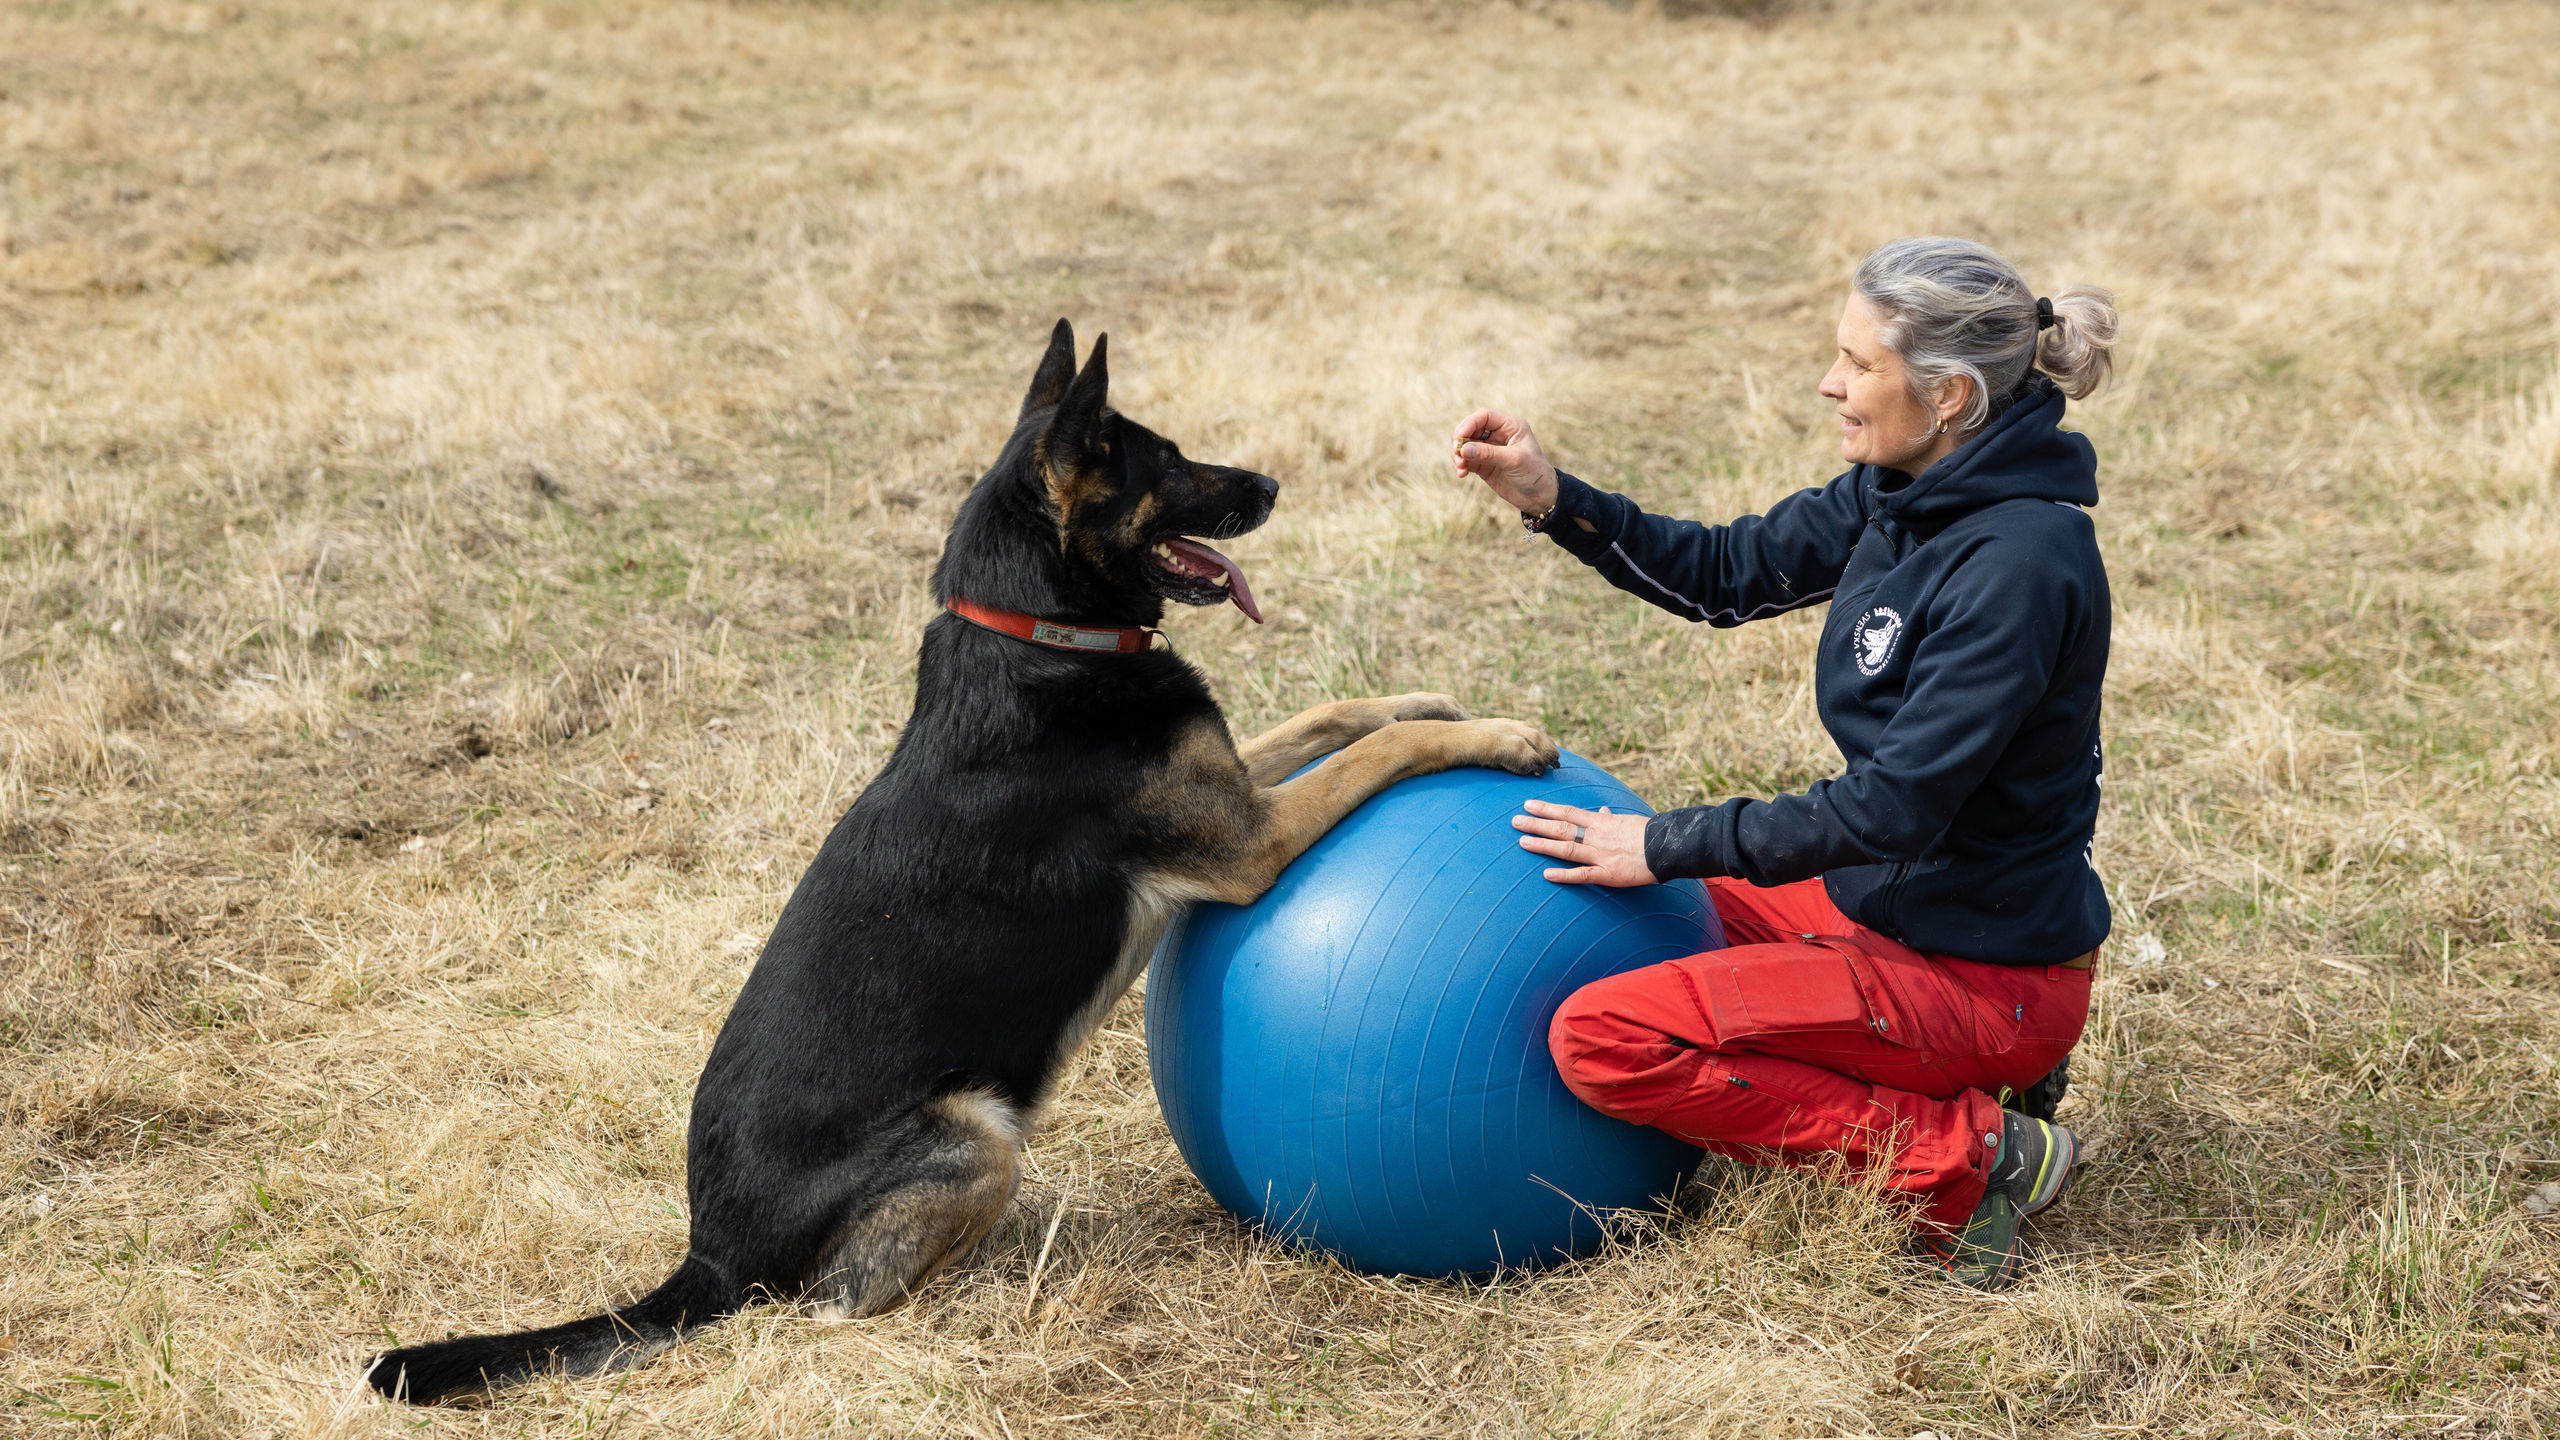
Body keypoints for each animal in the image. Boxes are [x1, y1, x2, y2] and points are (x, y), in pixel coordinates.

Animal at [368, 319, 1546, 1393]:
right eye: (1169, 465)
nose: (1269, 483)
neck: (1040, 635)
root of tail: (708, 1257)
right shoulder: (1248, 838)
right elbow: (1379, 752)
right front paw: (1506, 736)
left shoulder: (1228, 786)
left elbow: (1336, 715)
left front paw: (1427, 696)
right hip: (975, 1135)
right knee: (831, 1308)